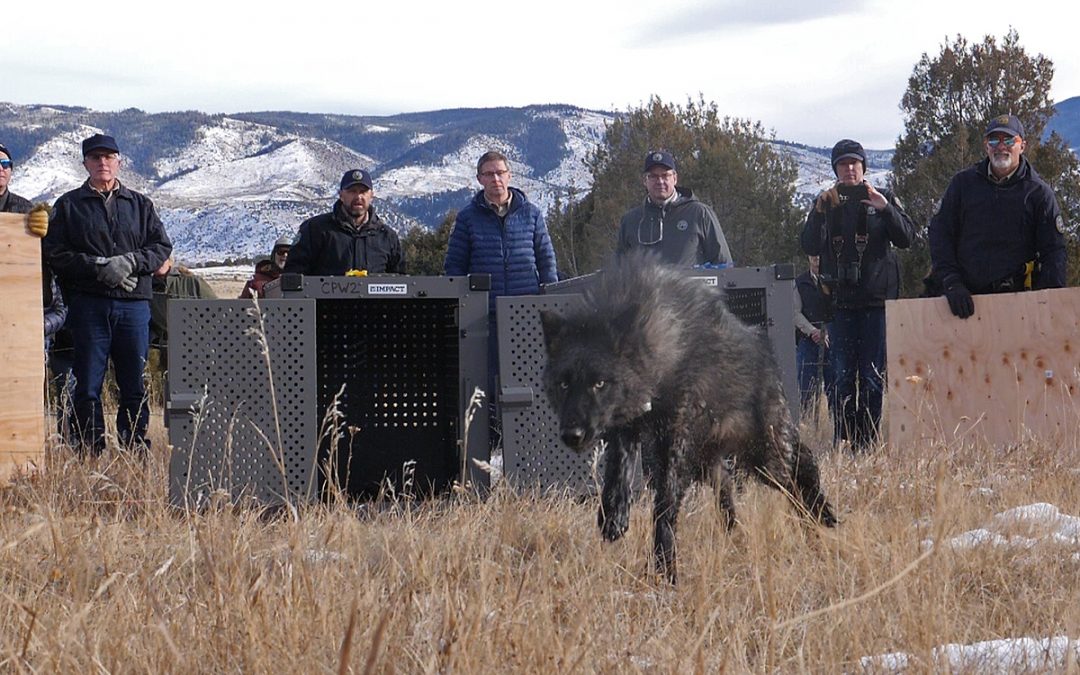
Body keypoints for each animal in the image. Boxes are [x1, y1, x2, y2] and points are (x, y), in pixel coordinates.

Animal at [540, 254, 833, 583]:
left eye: (599, 383)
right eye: (564, 384)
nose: (572, 435)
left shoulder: (674, 442)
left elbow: (664, 506)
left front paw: (665, 568)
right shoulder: (626, 430)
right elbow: (618, 475)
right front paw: (614, 517)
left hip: (765, 458)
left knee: (802, 470)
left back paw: (821, 517)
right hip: (713, 464)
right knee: (729, 492)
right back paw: (737, 538)